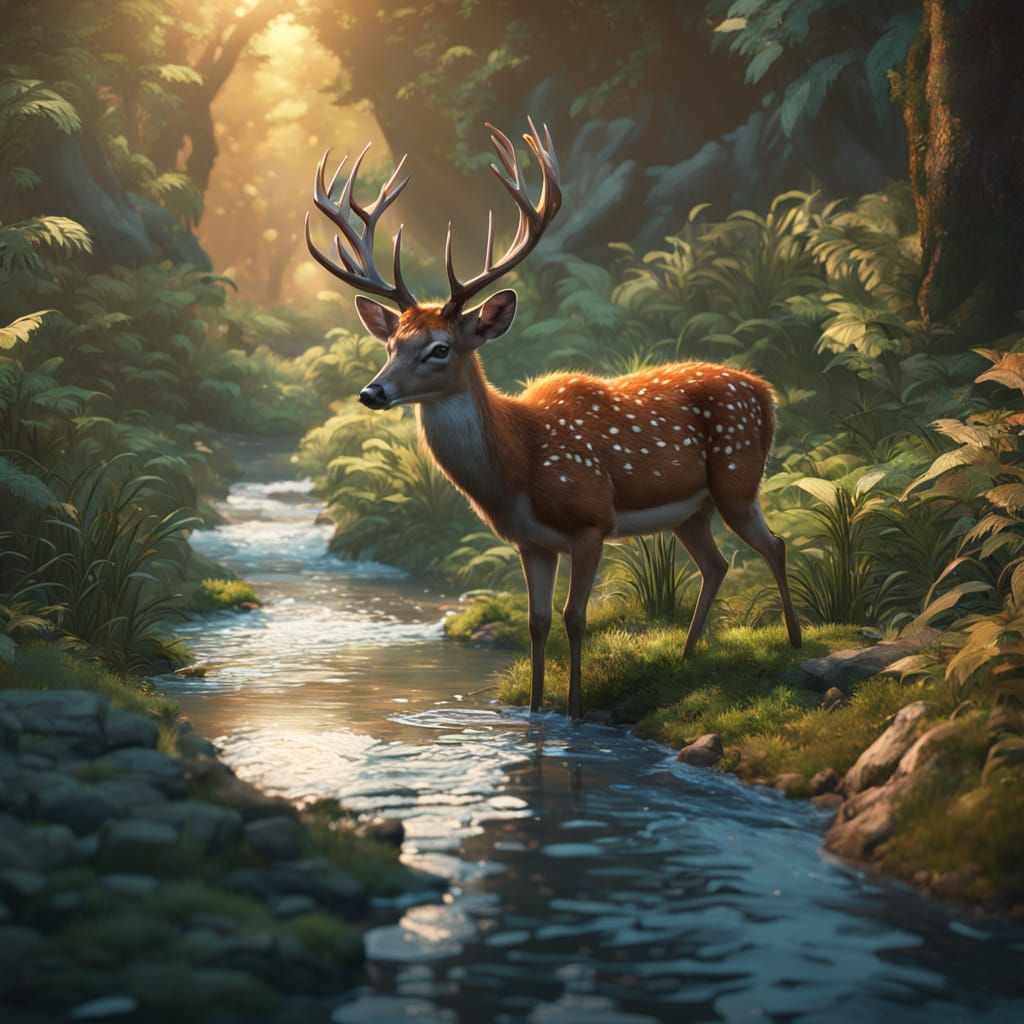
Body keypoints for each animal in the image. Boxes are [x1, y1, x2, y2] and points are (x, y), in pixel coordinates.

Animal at [305, 118, 802, 721]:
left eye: (440, 349)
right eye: (392, 344)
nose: (371, 391)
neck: (519, 466)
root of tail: (765, 392)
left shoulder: (591, 522)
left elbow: (574, 618)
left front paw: (575, 712)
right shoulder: (531, 542)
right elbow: (537, 623)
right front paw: (537, 712)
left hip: (737, 477)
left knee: (774, 545)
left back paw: (795, 643)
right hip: (692, 510)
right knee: (717, 564)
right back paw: (688, 654)